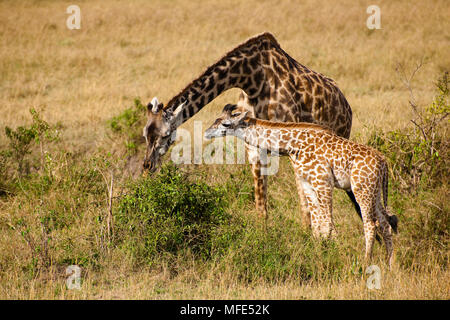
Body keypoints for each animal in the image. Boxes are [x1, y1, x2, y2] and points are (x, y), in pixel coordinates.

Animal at [142, 31, 354, 224]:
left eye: (166, 135)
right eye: (145, 134)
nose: (147, 167)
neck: (252, 79)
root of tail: (346, 105)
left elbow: (305, 205)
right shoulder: (253, 146)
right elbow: (261, 205)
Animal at [204, 104, 398, 266]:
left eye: (226, 124)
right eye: (216, 119)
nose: (206, 133)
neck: (293, 144)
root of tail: (383, 162)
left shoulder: (323, 182)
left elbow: (327, 223)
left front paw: (338, 254)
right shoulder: (307, 183)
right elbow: (317, 225)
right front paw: (319, 253)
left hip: (361, 189)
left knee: (370, 223)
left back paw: (366, 262)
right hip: (375, 191)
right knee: (385, 222)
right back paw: (390, 264)